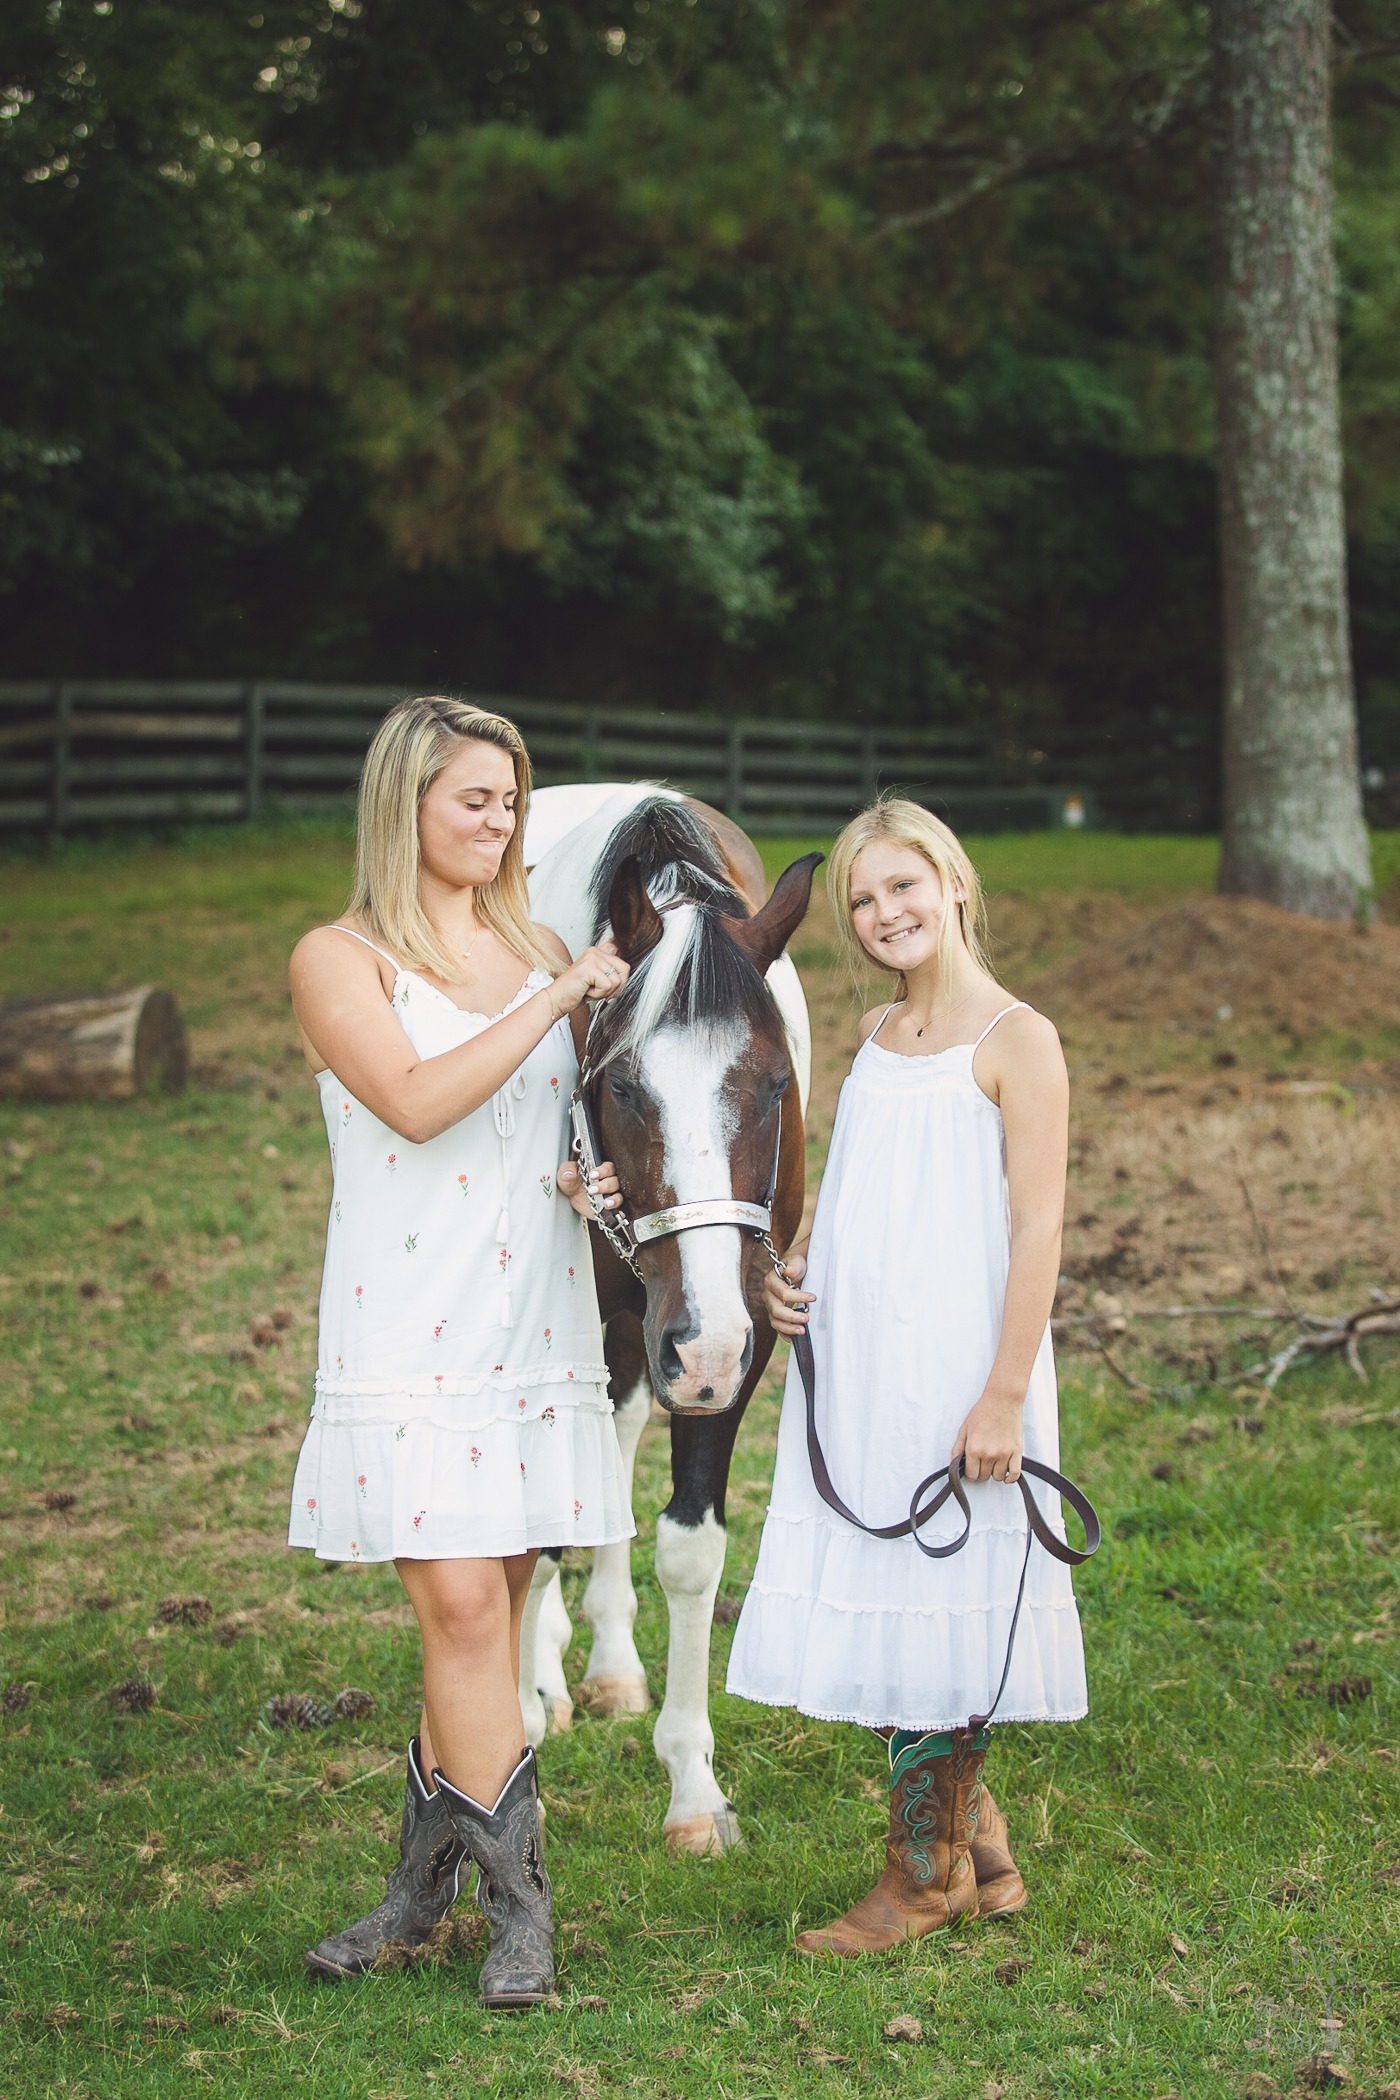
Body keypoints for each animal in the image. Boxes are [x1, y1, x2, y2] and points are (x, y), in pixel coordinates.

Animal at [522, 785, 822, 1856]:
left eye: (776, 1085)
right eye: (620, 1084)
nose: (700, 1349)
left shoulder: (742, 1335)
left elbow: (691, 1551)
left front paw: (693, 1787)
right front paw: (519, 1720)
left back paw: (608, 1665)